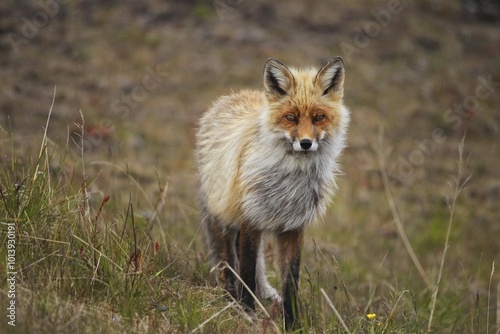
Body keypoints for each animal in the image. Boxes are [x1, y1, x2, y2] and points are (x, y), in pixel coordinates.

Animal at [194, 57, 348, 328]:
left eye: (319, 117)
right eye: (291, 117)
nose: (306, 143)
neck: (289, 183)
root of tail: (234, 95)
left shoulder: (293, 227)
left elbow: (290, 280)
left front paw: (292, 324)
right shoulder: (250, 219)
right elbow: (245, 270)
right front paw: (247, 314)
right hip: (225, 218)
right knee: (230, 262)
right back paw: (230, 295)